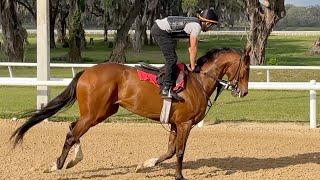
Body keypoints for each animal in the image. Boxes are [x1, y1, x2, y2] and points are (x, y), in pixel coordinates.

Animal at [10, 47, 250, 179]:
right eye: (247, 68)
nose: (244, 91)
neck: (199, 81)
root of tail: (86, 72)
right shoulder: (185, 123)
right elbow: (180, 152)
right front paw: (179, 175)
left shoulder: (175, 124)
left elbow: (170, 151)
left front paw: (145, 164)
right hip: (95, 114)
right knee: (72, 133)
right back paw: (58, 164)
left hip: (102, 111)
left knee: (72, 129)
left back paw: (71, 160)